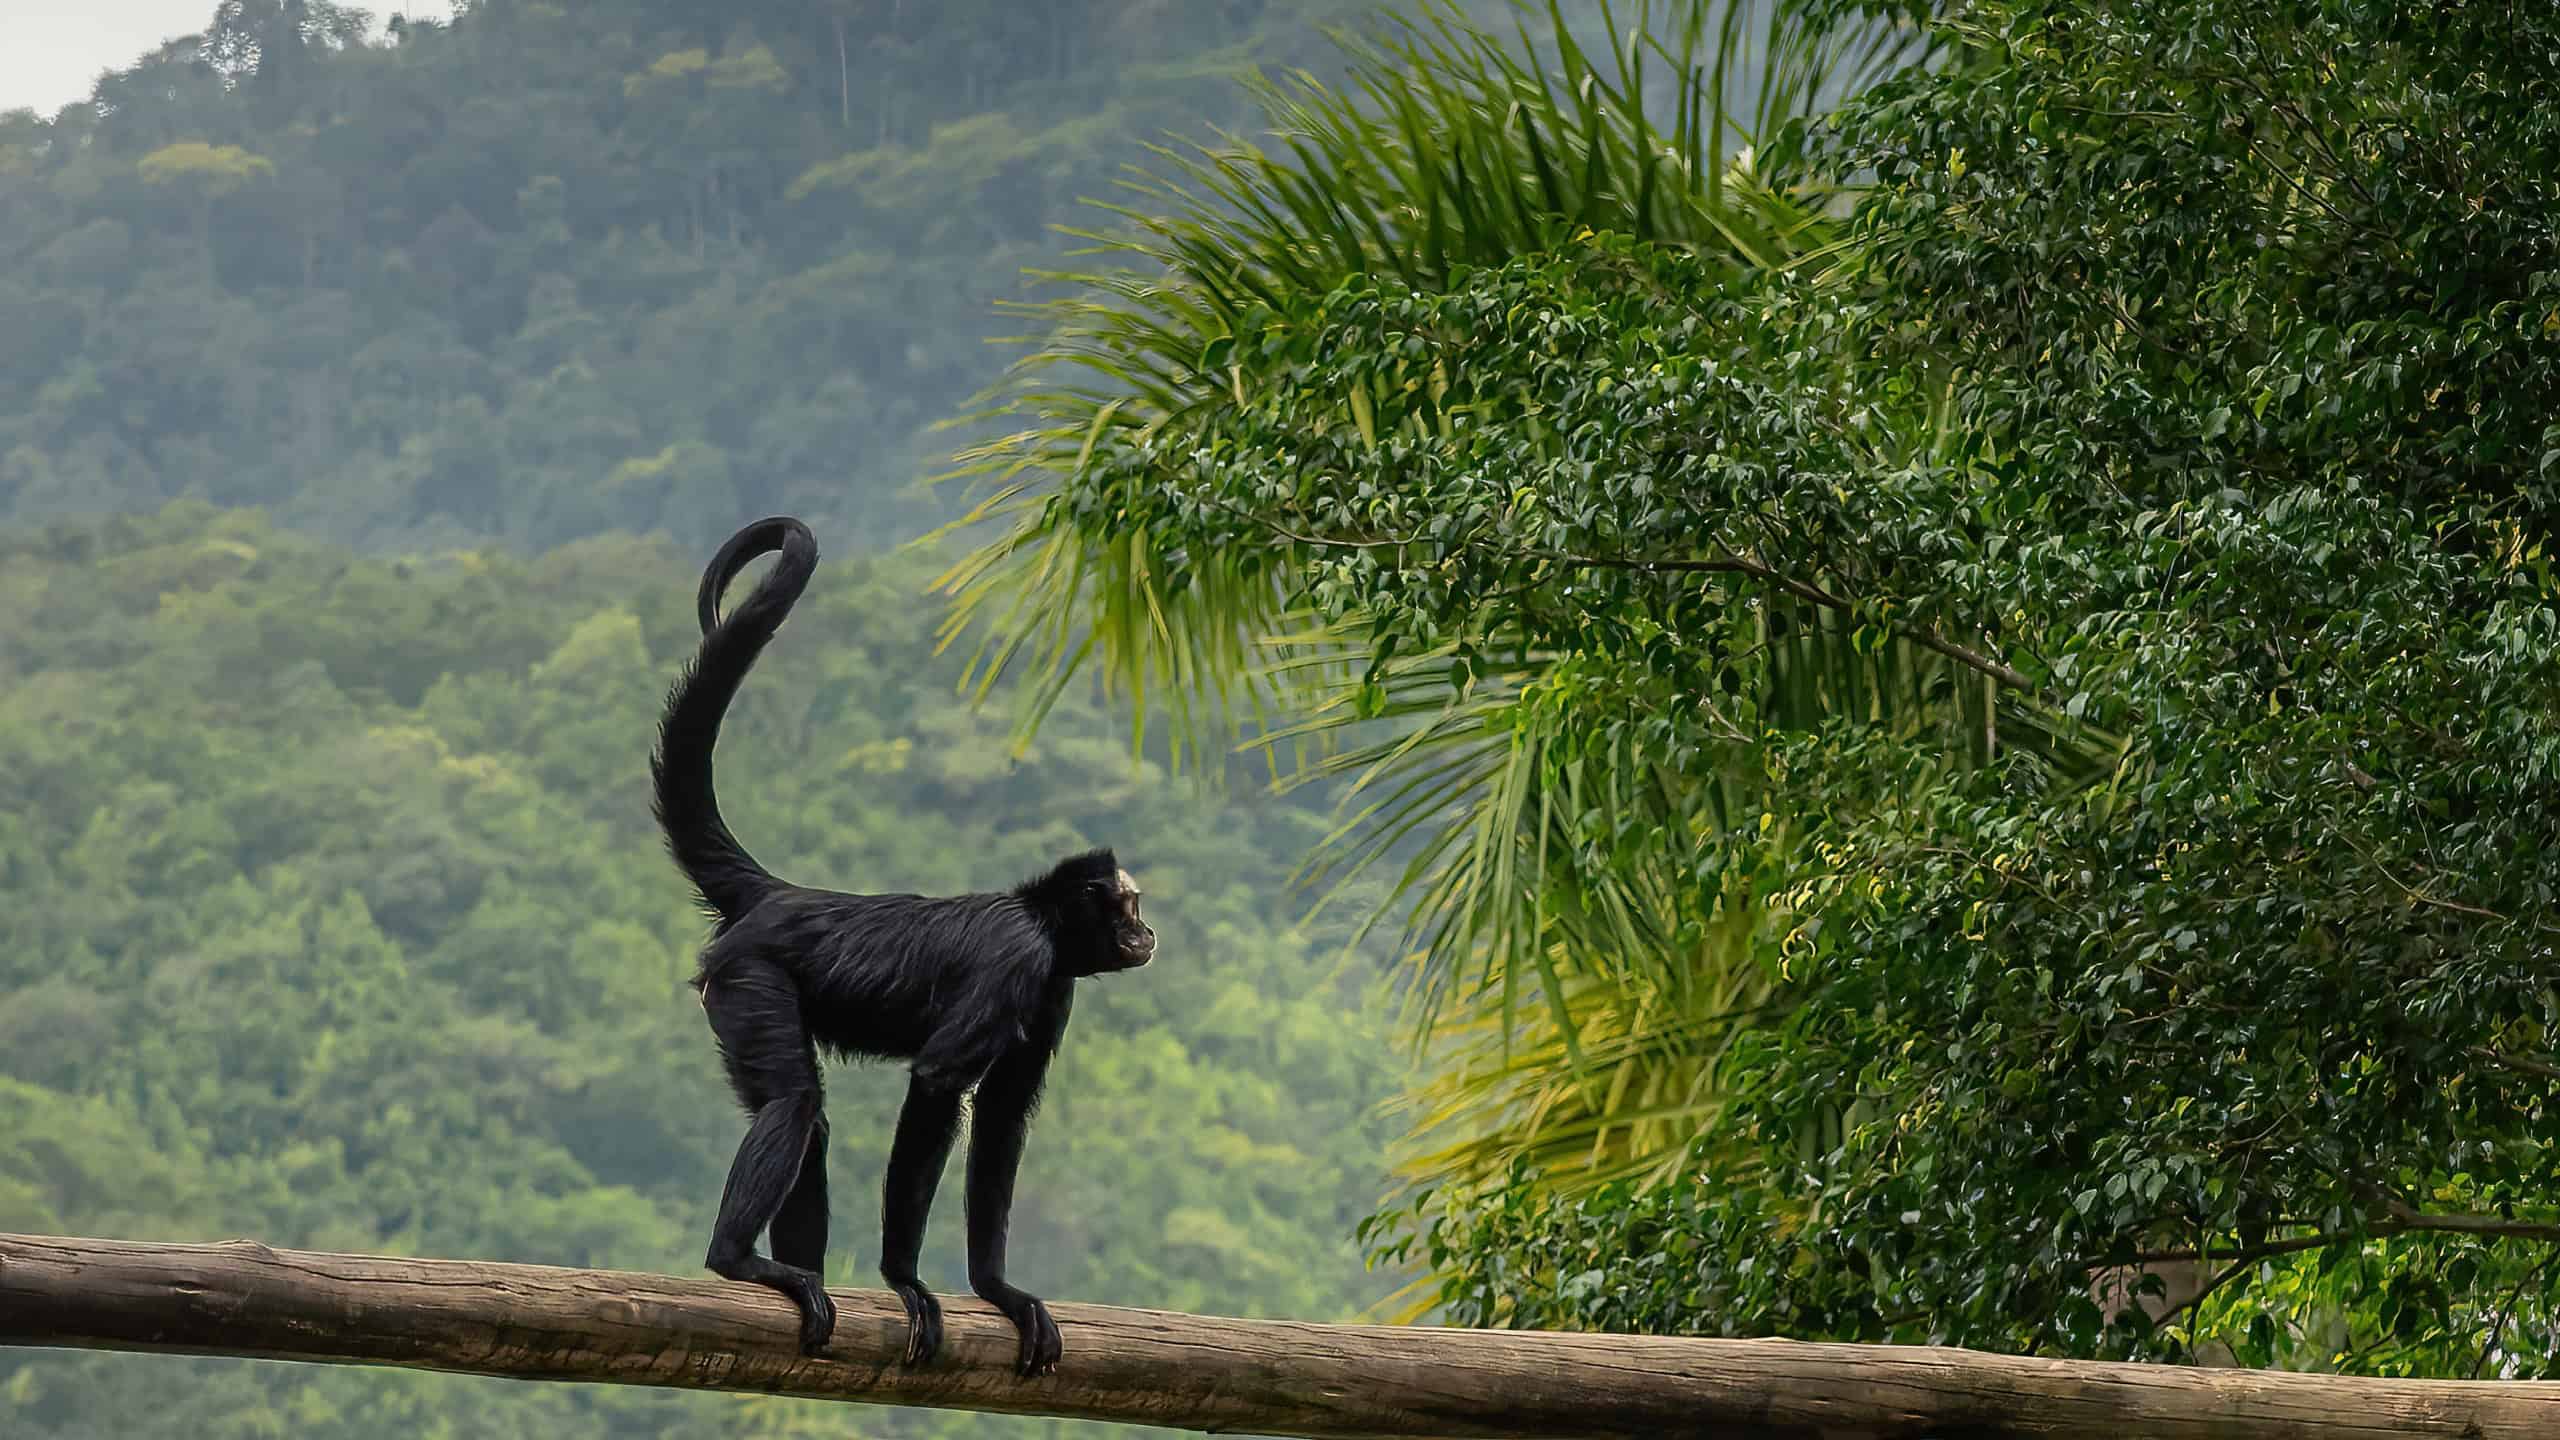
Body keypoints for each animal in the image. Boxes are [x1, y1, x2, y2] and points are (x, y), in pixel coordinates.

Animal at [649, 515, 1156, 1376]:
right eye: (1128, 904)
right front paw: (905, 1279)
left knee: (809, 1120)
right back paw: (737, 1260)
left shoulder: (1053, 987)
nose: (1147, 931)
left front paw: (996, 1288)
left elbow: (1003, 1117)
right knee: (797, 1102)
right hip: (749, 975)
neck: (1039, 919)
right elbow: (938, 1084)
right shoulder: (1019, 962)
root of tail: (783, 895)